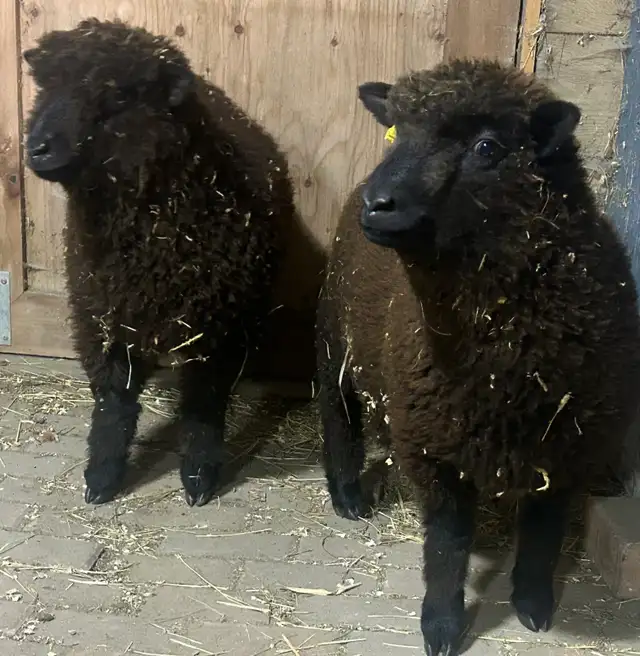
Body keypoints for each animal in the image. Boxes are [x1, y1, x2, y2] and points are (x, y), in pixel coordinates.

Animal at [24, 18, 296, 508]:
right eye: (44, 86)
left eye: (117, 97)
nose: (36, 147)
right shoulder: (103, 318)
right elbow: (113, 402)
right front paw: (102, 476)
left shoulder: (219, 329)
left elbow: (205, 406)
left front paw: (199, 477)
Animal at [316, 58, 640, 656]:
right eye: (396, 131)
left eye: (487, 147)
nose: (378, 203)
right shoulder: (433, 446)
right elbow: (448, 543)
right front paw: (442, 625)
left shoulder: (567, 444)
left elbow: (544, 531)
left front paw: (534, 605)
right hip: (334, 339)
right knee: (337, 412)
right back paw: (347, 493)